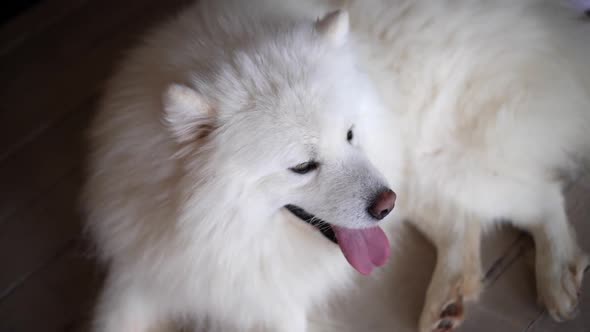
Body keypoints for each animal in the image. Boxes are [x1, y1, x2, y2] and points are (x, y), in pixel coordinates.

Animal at [85, 0, 590, 332]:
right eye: (303, 166)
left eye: (350, 134)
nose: (386, 205)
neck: (211, 233)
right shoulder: (146, 272)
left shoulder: (274, 304)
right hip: (420, 181)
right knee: (461, 225)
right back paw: (448, 297)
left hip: (442, 168)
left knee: (541, 196)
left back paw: (557, 276)